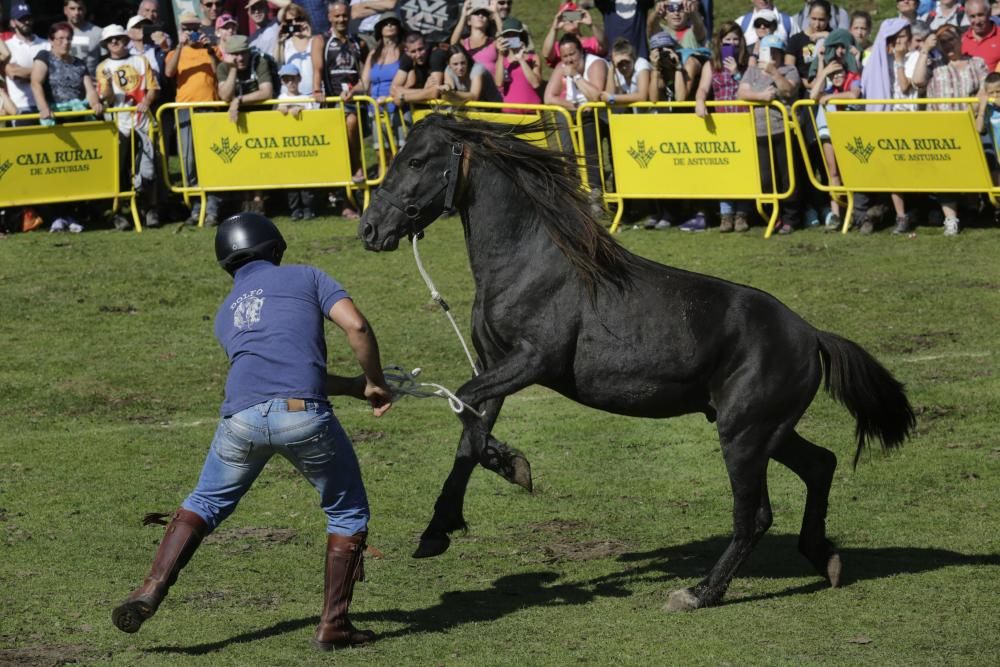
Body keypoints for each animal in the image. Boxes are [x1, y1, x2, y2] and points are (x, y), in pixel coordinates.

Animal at [360, 115, 916, 612]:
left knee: (755, 515)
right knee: (821, 464)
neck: (529, 263)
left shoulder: (532, 362)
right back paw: (824, 559)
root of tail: (811, 335)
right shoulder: (494, 364)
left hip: (744, 436)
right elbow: (469, 431)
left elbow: (466, 410)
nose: (370, 228)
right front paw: (442, 526)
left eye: (415, 161)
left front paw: (507, 470)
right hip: (766, 431)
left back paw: (699, 593)